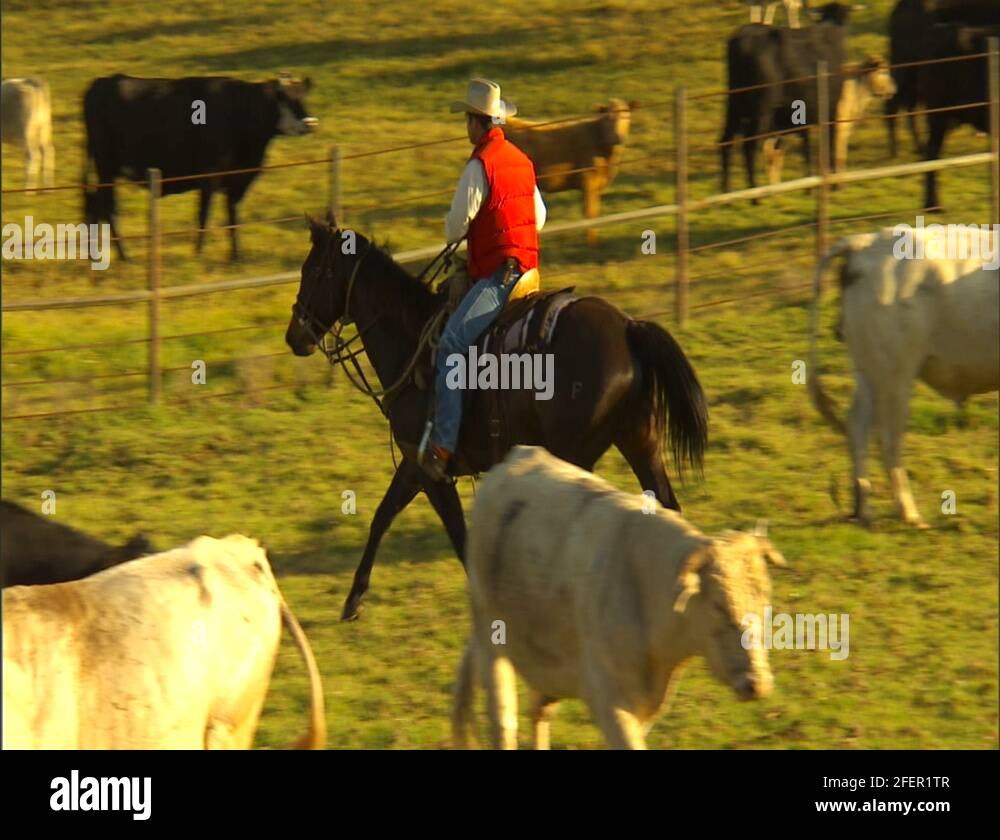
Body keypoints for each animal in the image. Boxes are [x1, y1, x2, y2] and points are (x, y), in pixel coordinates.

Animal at [83, 73, 317, 262]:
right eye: (284, 98)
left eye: (303, 96)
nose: (311, 123)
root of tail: (101, 82)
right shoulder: (210, 176)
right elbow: (204, 215)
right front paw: (199, 254)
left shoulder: (236, 181)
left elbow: (233, 216)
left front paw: (236, 256)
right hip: (106, 167)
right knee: (107, 208)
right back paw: (124, 256)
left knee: (96, 205)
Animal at [452, 446, 782, 750]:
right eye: (718, 605)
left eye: (765, 603)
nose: (758, 684)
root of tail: (512, 459)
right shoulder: (611, 700)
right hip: (492, 641)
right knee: (503, 719)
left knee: (539, 711)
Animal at [504, 99, 635, 245]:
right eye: (608, 118)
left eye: (627, 116)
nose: (619, 138)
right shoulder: (588, 181)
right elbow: (590, 212)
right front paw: (591, 242)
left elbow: (595, 211)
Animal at [720, 3, 851, 197]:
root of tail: (742, 37)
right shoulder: (830, 108)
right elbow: (828, 142)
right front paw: (831, 183)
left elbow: (806, 144)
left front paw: (810, 185)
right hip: (761, 110)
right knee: (749, 146)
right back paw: (754, 194)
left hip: (735, 106)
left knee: (726, 142)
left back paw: (727, 193)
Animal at [809, 227, 998, 528]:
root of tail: (868, 240)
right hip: (894, 374)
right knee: (888, 439)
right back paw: (909, 513)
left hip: (869, 369)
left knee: (858, 425)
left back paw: (863, 508)